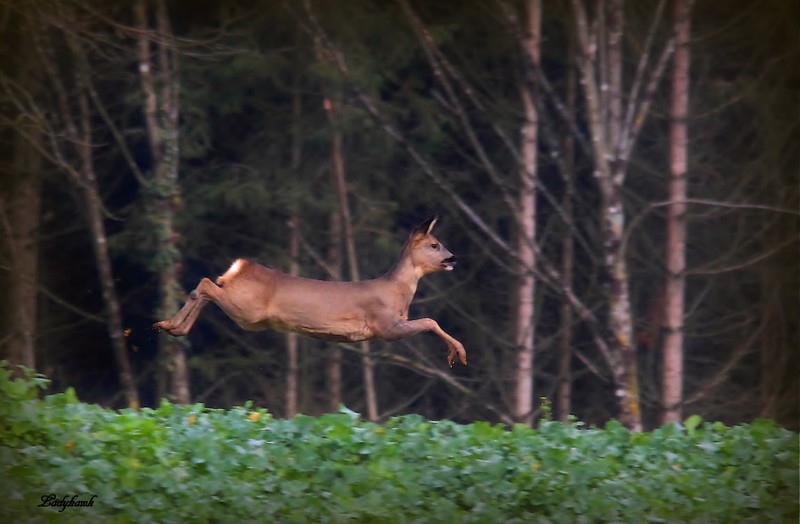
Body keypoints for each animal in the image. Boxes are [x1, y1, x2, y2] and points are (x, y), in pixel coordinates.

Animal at [155, 215, 468, 366]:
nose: (453, 258)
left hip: (247, 312)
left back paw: (172, 328)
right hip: (247, 311)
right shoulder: (385, 326)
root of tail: (239, 266)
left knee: (207, 288)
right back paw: (168, 324)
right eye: (434, 244)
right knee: (206, 284)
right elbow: (430, 320)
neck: (397, 292)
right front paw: (459, 353)